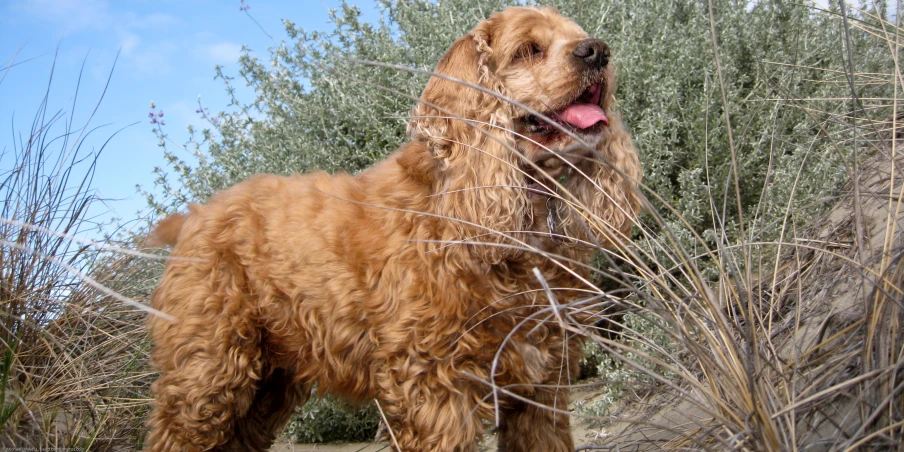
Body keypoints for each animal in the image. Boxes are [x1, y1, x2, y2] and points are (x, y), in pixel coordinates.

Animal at [145, 7, 644, 452]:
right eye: (528, 49)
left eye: (578, 34)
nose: (598, 51)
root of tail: (195, 214)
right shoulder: (434, 389)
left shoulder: (541, 388)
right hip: (208, 377)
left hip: (268, 384)